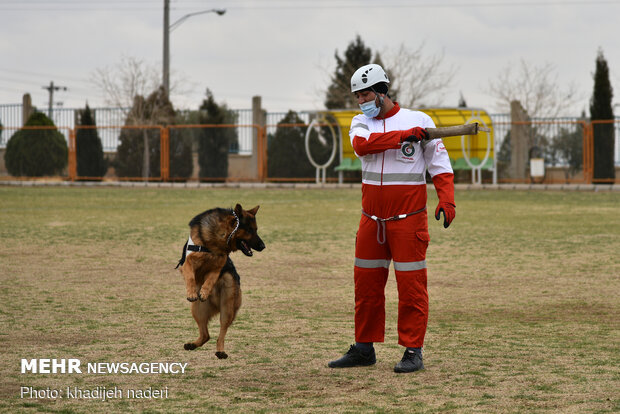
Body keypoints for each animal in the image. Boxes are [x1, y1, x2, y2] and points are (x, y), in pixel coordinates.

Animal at [174, 204, 264, 360]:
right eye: (250, 230)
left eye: (256, 229)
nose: (263, 246)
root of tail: (215, 303)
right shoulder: (187, 263)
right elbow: (190, 276)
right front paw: (192, 293)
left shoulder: (218, 267)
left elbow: (210, 279)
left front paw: (204, 292)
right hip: (198, 310)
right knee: (206, 335)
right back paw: (192, 344)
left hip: (227, 308)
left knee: (220, 334)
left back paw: (220, 351)